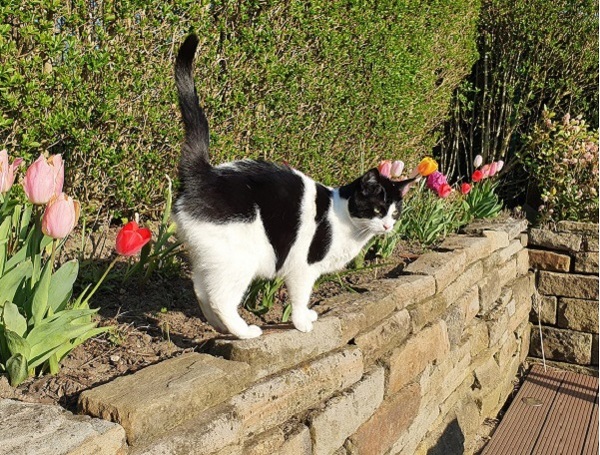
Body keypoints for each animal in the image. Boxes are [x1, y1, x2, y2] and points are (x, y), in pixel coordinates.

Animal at [172, 34, 412, 338]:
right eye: (378, 209)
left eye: (395, 213)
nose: (388, 226)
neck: (345, 220)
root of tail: (205, 172)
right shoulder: (303, 268)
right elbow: (301, 296)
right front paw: (301, 322)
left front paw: (307, 316)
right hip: (240, 259)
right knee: (221, 298)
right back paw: (244, 331)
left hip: (211, 257)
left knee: (200, 289)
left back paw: (219, 327)